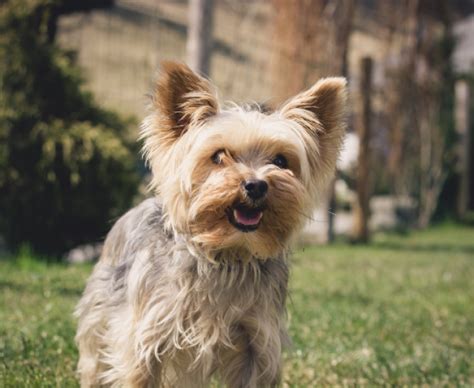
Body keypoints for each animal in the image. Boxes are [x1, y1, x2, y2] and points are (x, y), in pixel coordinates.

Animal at [75, 62, 348, 386]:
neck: (227, 254)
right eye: (218, 156)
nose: (256, 185)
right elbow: (137, 369)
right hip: (100, 313)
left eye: (281, 161)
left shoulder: (257, 341)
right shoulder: (144, 335)